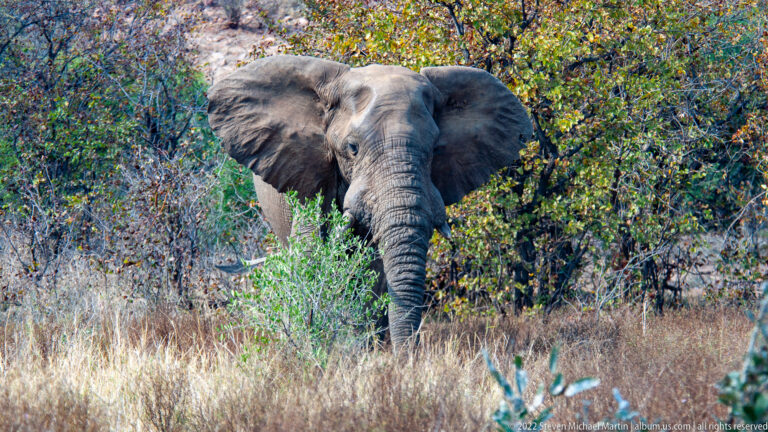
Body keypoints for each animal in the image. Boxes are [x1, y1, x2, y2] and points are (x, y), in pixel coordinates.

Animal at [207, 55, 532, 349]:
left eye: (435, 149)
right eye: (352, 148)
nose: (406, 359)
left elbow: (371, 268)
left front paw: (362, 349)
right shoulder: (311, 174)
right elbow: (311, 253)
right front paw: (315, 344)